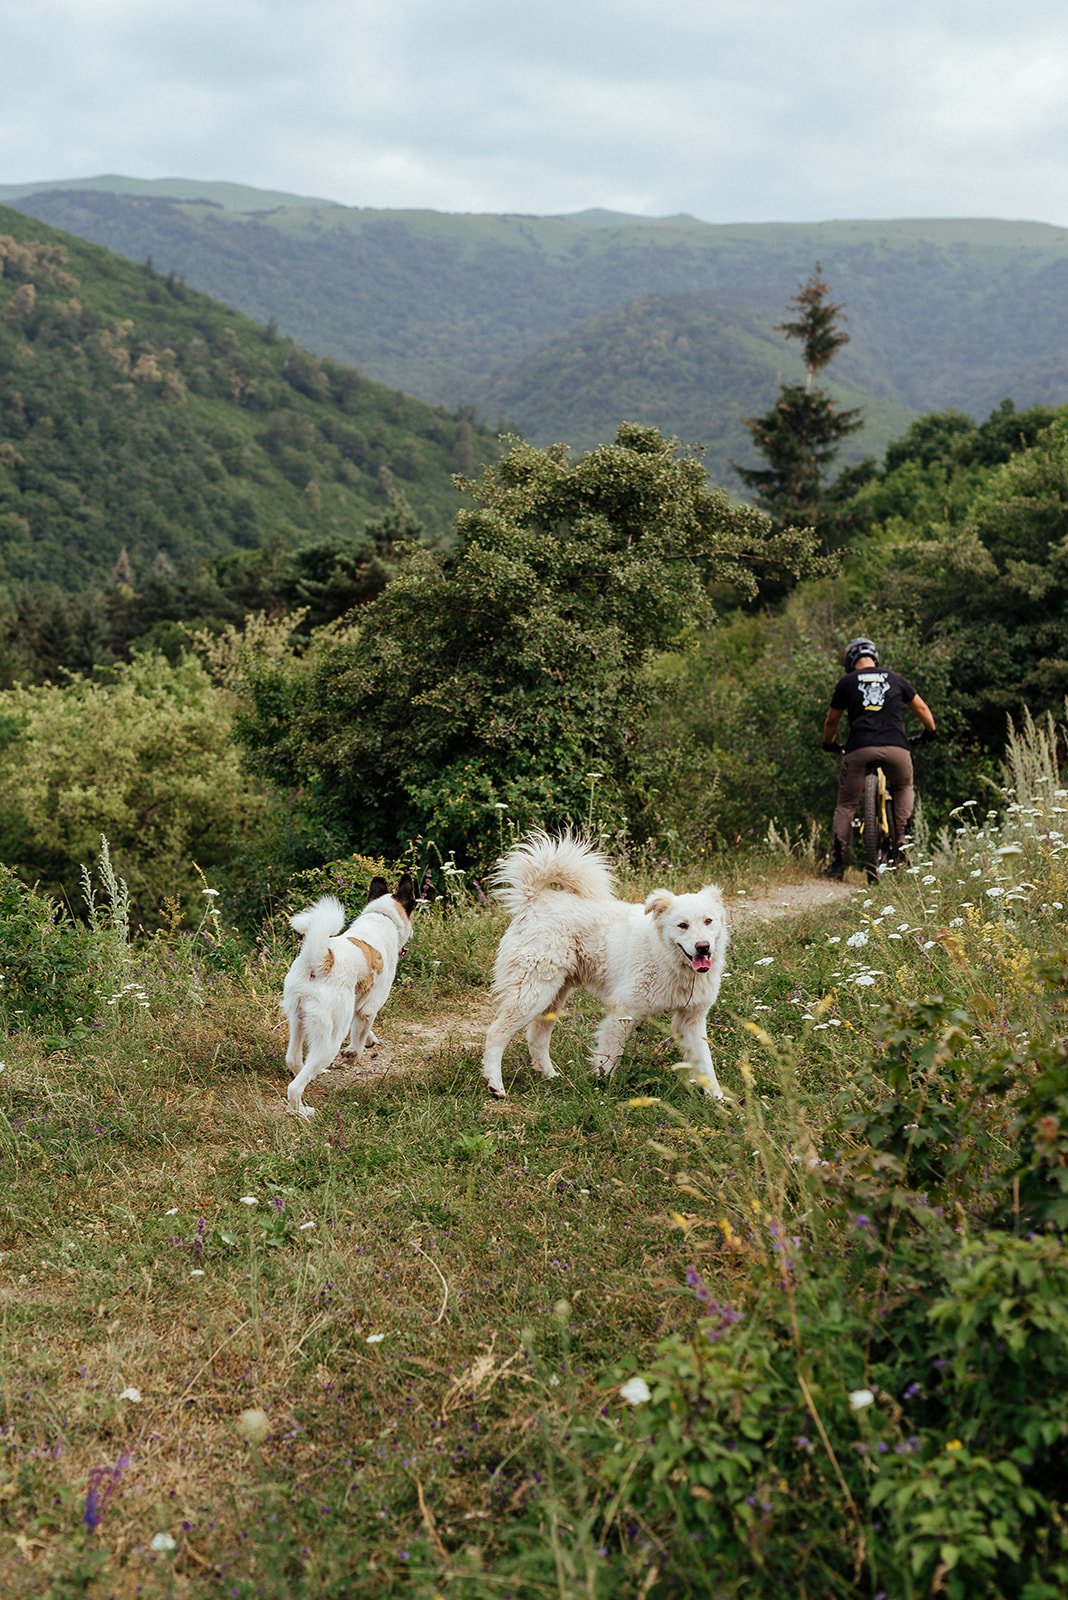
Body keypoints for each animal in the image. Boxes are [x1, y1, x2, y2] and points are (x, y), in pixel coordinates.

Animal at [281, 870, 415, 1120]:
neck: (382, 917)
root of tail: (322, 961)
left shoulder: (358, 1005)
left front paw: (370, 1040)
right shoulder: (369, 1008)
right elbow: (359, 1036)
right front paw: (354, 1053)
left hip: (298, 1020)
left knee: (294, 1061)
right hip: (331, 1037)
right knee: (294, 1087)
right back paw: (302, 1111)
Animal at [482, 832, 725, 1094]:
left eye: (708, 921)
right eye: (682, 925)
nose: (703, 947)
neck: (666, 957)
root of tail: (534, 900)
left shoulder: (691, 1020)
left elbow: (706, 1064)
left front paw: (718, 1099)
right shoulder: (623, 1011)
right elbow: (610, 1054)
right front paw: (602, 1089)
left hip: (552, 996)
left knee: (537, 1037)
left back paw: (550, 1076)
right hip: (532, 994)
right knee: (496, 1034)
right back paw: (496, 1086)